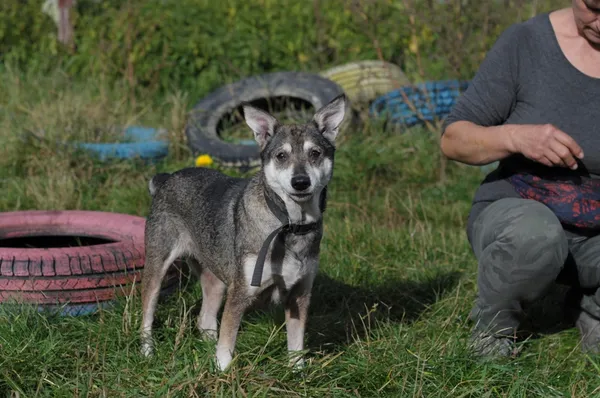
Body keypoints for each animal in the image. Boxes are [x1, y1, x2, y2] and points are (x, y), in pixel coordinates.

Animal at [139, 92, 346, 370]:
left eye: (315, 153)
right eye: (281, 156)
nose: (300, 182)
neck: (289, 225)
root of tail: (165, 179)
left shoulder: (299, 294)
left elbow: (296, 346)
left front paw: (297, 372)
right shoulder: (240, 294)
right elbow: (227, 343)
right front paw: (224, 372)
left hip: (215, 279)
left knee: (205, 320)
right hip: (157, 267)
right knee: (147, 315)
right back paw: (147, 352)